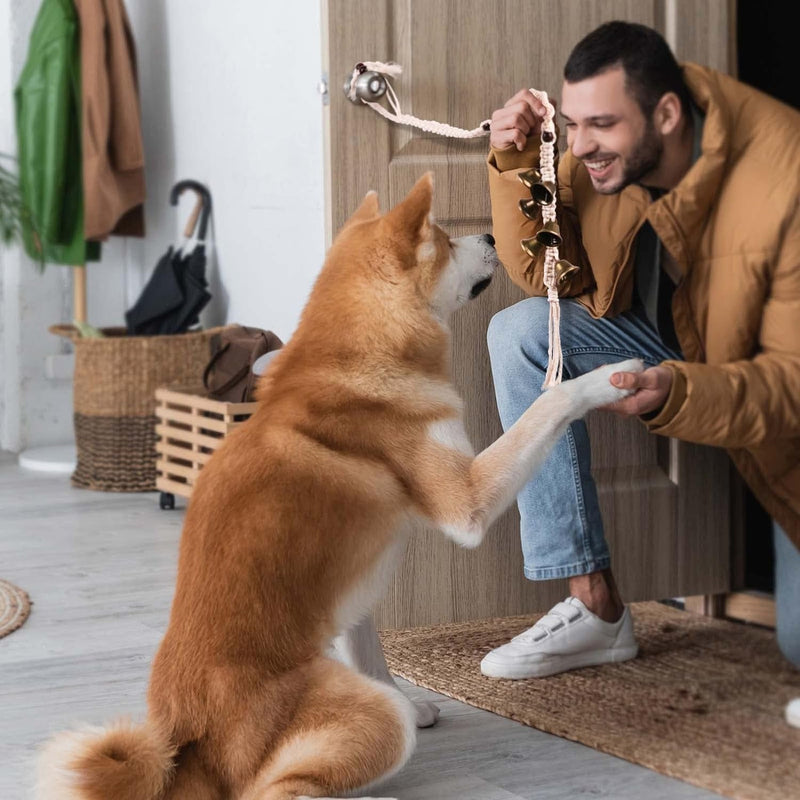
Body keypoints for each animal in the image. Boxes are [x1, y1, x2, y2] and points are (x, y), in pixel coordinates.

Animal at [37, 175, 640, 800]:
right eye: (446, 239)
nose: (492, 236)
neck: (361, 357)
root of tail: (188, 747)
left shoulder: (351, 590)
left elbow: (371, 654)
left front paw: (413, 697)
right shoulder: (466, 501)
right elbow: (550, 403)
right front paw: (606, 380)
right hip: (354, 726)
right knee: (279, 789)